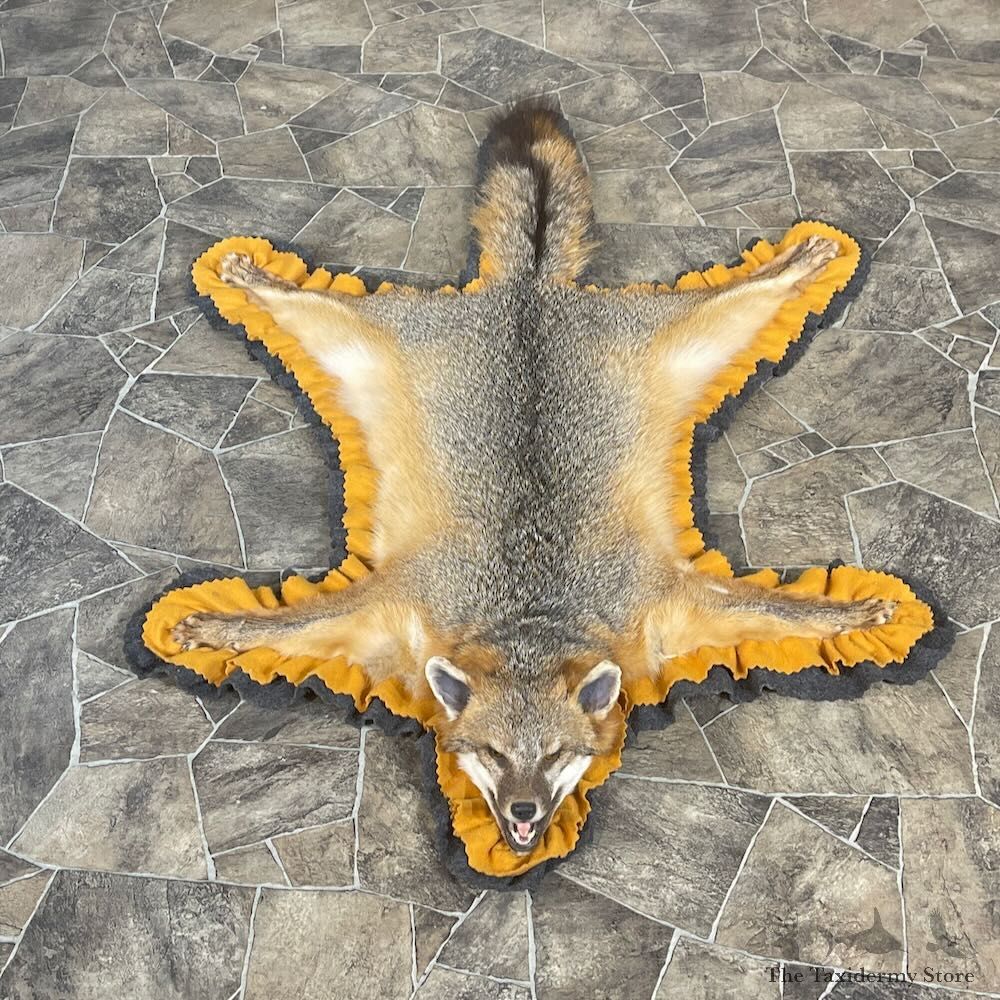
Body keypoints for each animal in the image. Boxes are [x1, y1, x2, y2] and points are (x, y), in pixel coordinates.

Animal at [173, 101, 896, 854]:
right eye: (493, 754)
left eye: (554, 756)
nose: (523, 813)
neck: (529, 613)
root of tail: (531, 291)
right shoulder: (396, 607)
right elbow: (289, 625)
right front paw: (221, 629)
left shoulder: (662, 606)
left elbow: (783, 612)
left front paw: (847, 614)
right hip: (359, 341)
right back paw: (252, 276)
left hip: (692, 339)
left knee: (750, 288)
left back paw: (804, 257)